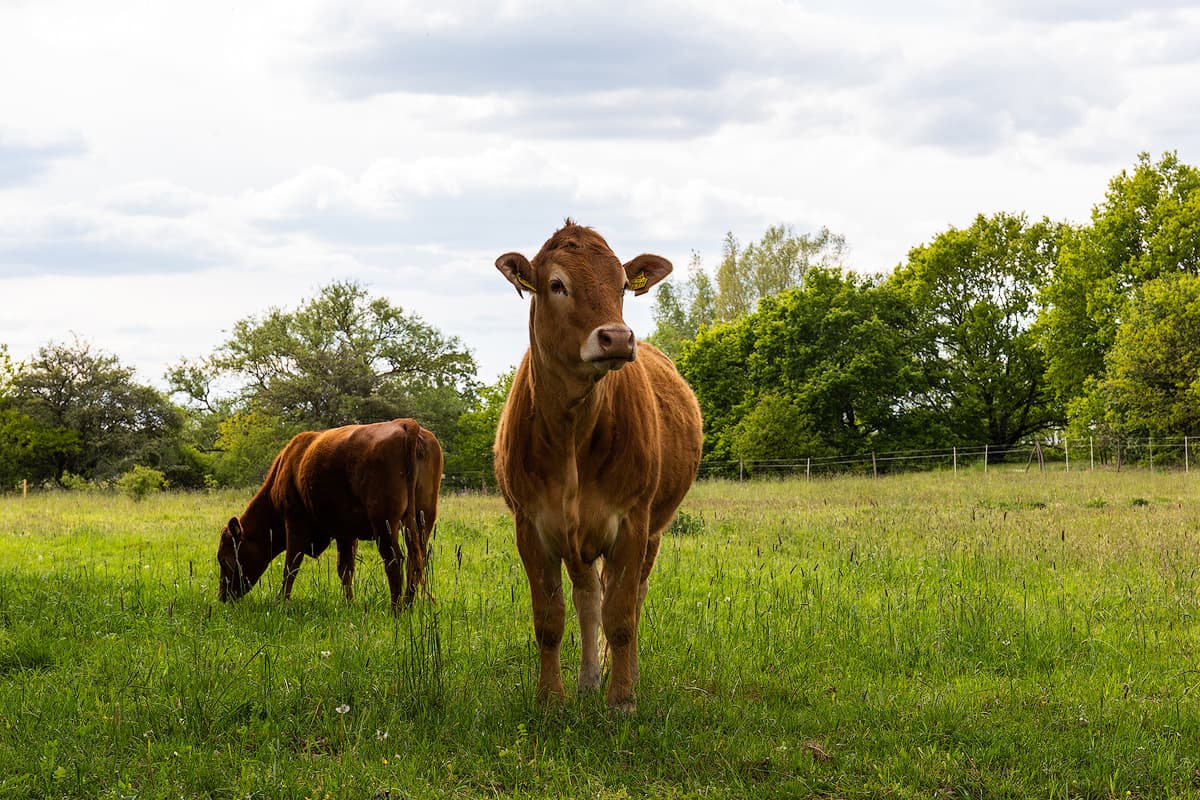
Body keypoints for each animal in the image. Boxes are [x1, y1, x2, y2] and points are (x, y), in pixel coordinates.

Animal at [216, 419, 441, 614]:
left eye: (225, 560)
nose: (223, 598)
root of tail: (405, 424)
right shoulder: (346, 533)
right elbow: (345, 569)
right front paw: (349, 605)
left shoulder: (295, 523)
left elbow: (291, 566)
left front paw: (281, 603)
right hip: (423, 519)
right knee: (416, 560)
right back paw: (409, 606)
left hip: (383, 522)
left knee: (395, 560)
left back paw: (396, 611)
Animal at [492, 220, 700, 714]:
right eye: (556, 284)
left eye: (622, 285)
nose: (618, 338)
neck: (571, 429)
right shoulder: (532, 525)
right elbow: (550, 618)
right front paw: (552, 696)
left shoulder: (631, 521)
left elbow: (621, 615)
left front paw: (622, 698)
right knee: (588, 596)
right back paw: (589, 677)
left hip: (654, 528)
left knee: (633, 597)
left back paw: (625, 675)